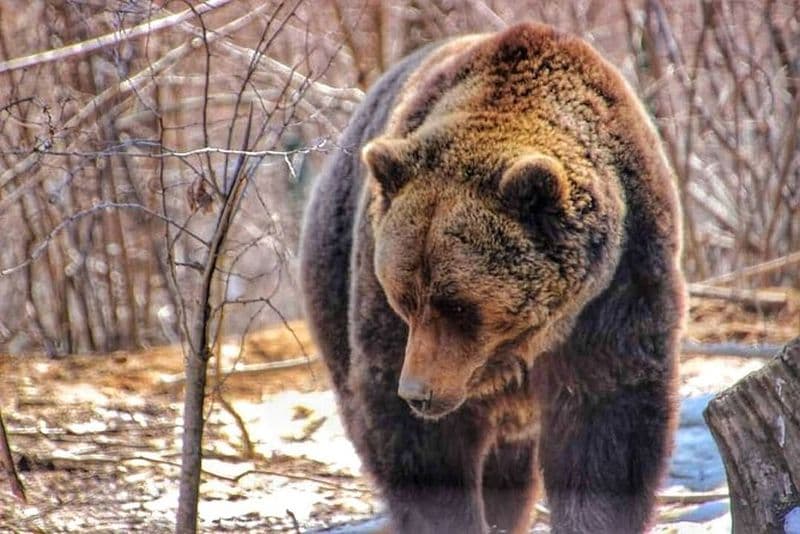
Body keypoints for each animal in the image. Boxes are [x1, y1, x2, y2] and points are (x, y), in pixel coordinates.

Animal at [300, 22, 685, 534]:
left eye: (459, 304)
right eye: (404, 299)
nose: (418, 392)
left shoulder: (617, 289)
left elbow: (607, 424)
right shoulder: (385, 316)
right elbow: (420, 451)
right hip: (332, 271)